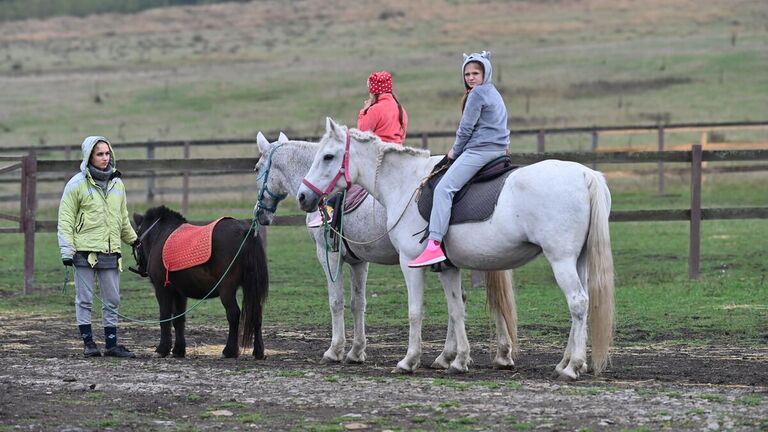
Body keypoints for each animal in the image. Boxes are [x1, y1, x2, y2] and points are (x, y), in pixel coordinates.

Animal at [134, 206, 270, 358]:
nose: (140, 268)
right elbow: (178, 319)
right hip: (250, 286)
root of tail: (246, 231)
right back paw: (258, 351)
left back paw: (229, 350)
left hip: (227, 289)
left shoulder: (162, 289)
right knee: (256, 314)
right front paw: (178, 350)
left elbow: (165, 317)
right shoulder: (180, 293)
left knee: (233, 314)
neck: (161, 235)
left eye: (137, 234)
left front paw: (162, 349)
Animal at [296, 117, 616, 378]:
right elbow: (456, 309)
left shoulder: (408, 263)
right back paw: (565, 363)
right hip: (578, 261)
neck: (406, 184)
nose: (302, 196)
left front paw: (409, 360)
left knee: (578, 302)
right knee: (582, 304)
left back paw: (573, 367)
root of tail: (585, 174)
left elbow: (415, 311)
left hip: (561, 260)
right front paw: (459, 360)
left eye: (328, 156)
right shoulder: (448, 267)